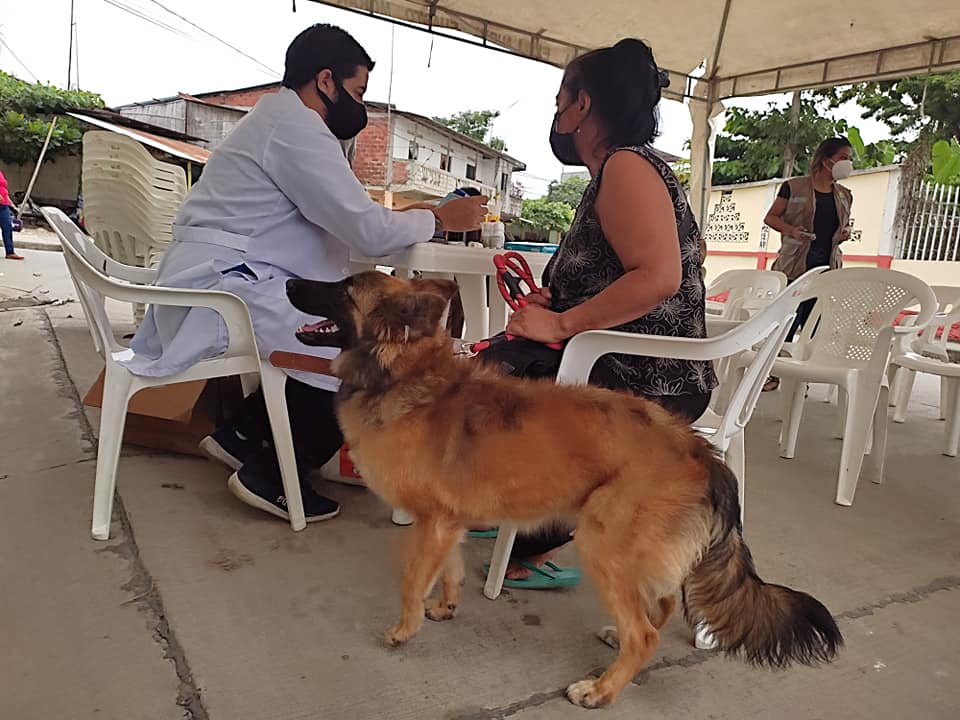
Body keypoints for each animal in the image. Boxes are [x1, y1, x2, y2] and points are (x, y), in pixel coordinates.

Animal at [286, 271, 843, 709]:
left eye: (343, 287)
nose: (286, 281)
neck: (403, 375)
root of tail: (698, 448)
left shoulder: (433, 522)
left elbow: (411, 581)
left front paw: (404, 629)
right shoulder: (445, 522)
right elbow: (449, 570)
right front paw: (443, 607)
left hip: (603, 544)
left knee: (646, 633)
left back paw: (601, 689)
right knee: (661, 608)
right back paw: (617, 642)